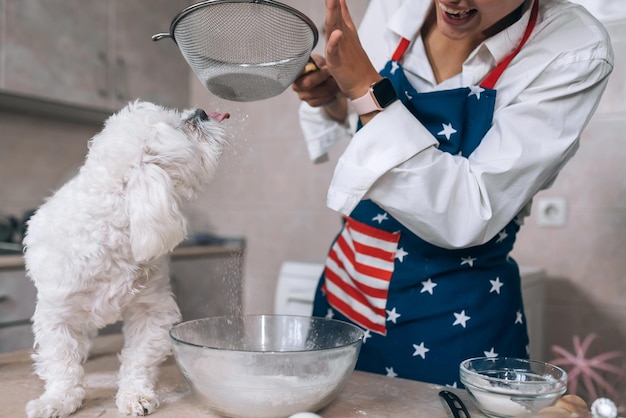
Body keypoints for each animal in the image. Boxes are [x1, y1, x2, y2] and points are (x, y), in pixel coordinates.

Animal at [24, 100, 230, 418]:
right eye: (182, 126)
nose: (202, 112)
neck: (110, 233)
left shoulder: (152, 310)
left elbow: (138, 360)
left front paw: (135, 395)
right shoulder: (56, 315)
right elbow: (61, 363)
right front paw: (57, 400)